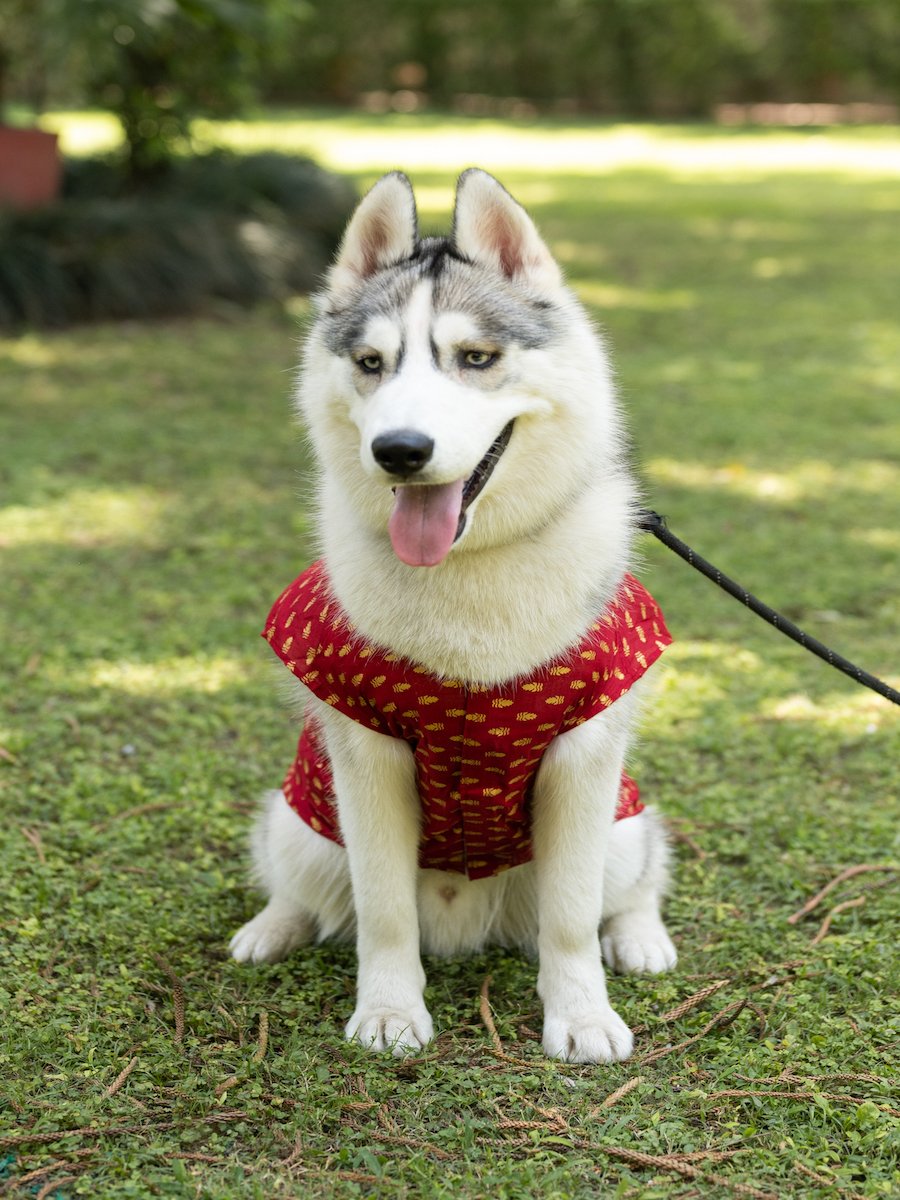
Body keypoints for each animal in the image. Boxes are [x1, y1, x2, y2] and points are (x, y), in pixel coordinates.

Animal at [232, 169, 676, 1060]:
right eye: (371, 363)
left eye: (476, 358)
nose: (399, 451)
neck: (468, 571)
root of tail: (470, 927)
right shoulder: (366, 758)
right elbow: (382, 911)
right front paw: (390, 1010)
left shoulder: (583, 760)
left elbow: (571, 919)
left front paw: (581, 1016)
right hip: (305, 824)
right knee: (301, 884)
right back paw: (271, 928)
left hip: (622, 829)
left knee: (634, 881)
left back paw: (641, 936)